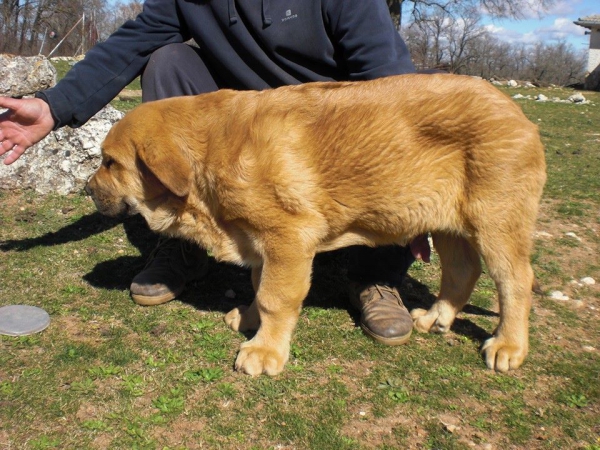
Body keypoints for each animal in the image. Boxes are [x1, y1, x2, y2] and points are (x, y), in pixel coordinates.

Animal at [86, 74, 548, 376]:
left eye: (110, 163)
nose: (87, 189)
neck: (212, 152)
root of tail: (520, 115)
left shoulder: (288, 238)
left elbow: (275, 297)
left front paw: (265, 351)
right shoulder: (261, 244)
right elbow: (259, 287)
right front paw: (250, 319)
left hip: (496, 222)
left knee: (515, 281)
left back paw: (509, 346)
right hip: (448, 224)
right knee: (462, 272)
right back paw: (436, 318)